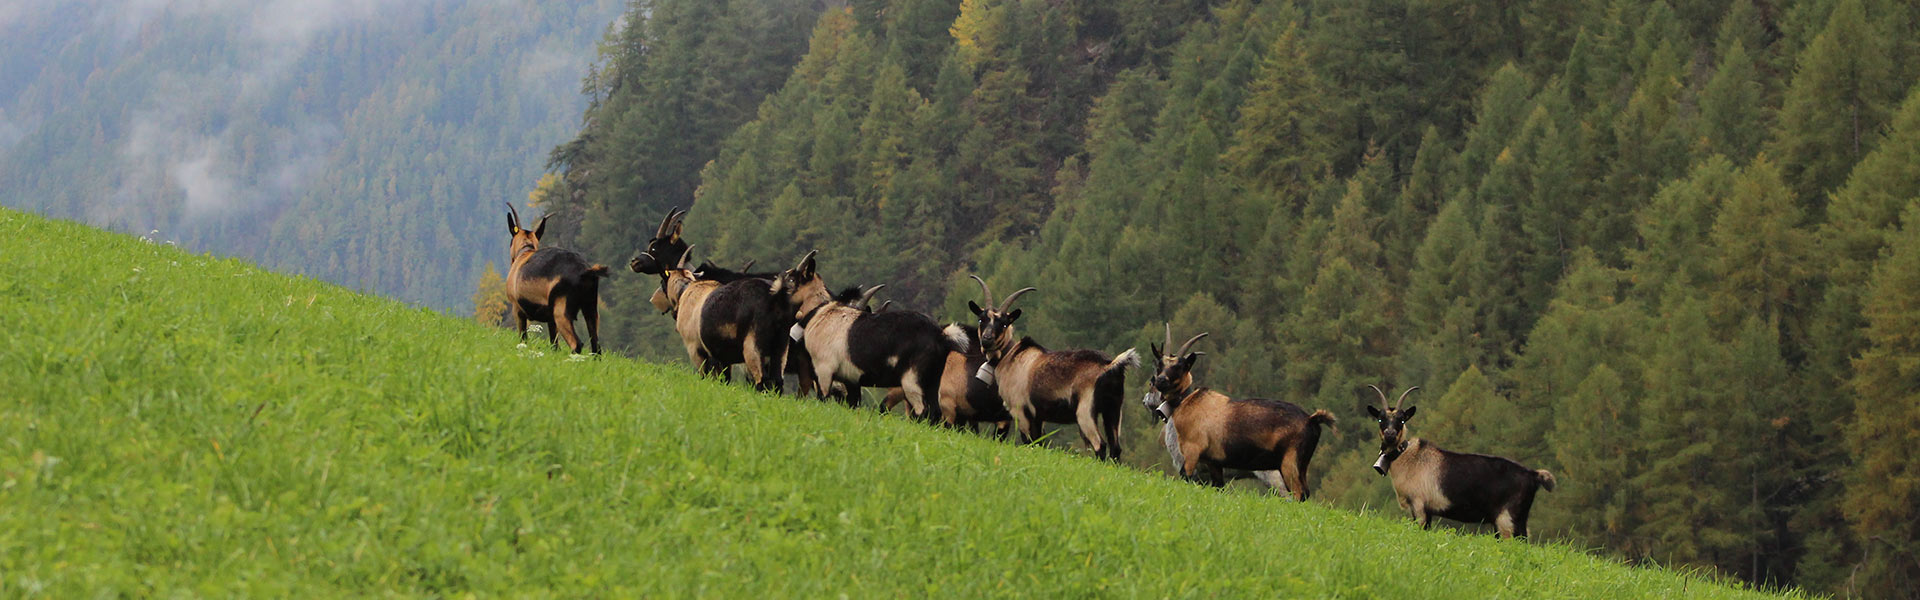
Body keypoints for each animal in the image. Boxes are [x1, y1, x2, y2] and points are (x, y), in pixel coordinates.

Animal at [503, 202, 606, 351]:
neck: (525, 251)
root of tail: (585, 271)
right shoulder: (550, 319)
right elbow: (554, 344)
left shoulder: (517, 309)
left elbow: (523, 338)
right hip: (590, 307)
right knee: (595, 345)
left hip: (561, 311)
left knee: (577, 343)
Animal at [775, 253, 956, 421]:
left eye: (791, 279)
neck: (823, 312)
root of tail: (941, 336)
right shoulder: (850, 379)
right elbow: (853, 404)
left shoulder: (824, 369)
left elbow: (823, 398)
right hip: (932, 381)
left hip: (912, 380)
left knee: (922, 411)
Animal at [967, 276, 1128, 459]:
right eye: (981, 319)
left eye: (1004, 324)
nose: (986, 339)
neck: (1011, 356)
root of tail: (1110, 366)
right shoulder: (1038, 416)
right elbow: (1039, 442)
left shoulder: (1020, 410)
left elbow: (1029, 441)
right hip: (1113, 408)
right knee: (1116, 448)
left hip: (1086, 410)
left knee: (1100, 445)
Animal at [1136, 325, 1336, 500]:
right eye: (1159, 365)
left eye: (1179, 366)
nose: (1161, 380)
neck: (1188, 402)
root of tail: (1312, 420)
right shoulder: (1213, 463)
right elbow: (1218, 488)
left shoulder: (1192, 454)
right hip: (1300, 465)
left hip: (1287, 464)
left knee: (1298, 494)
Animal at [1374, 388, 1551, 538]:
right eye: (1381, 419)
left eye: (1402, 420)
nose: (1390, 434)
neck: (1409, 458)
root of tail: (1533, 475)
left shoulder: (1419, 505)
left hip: (1507, 518)